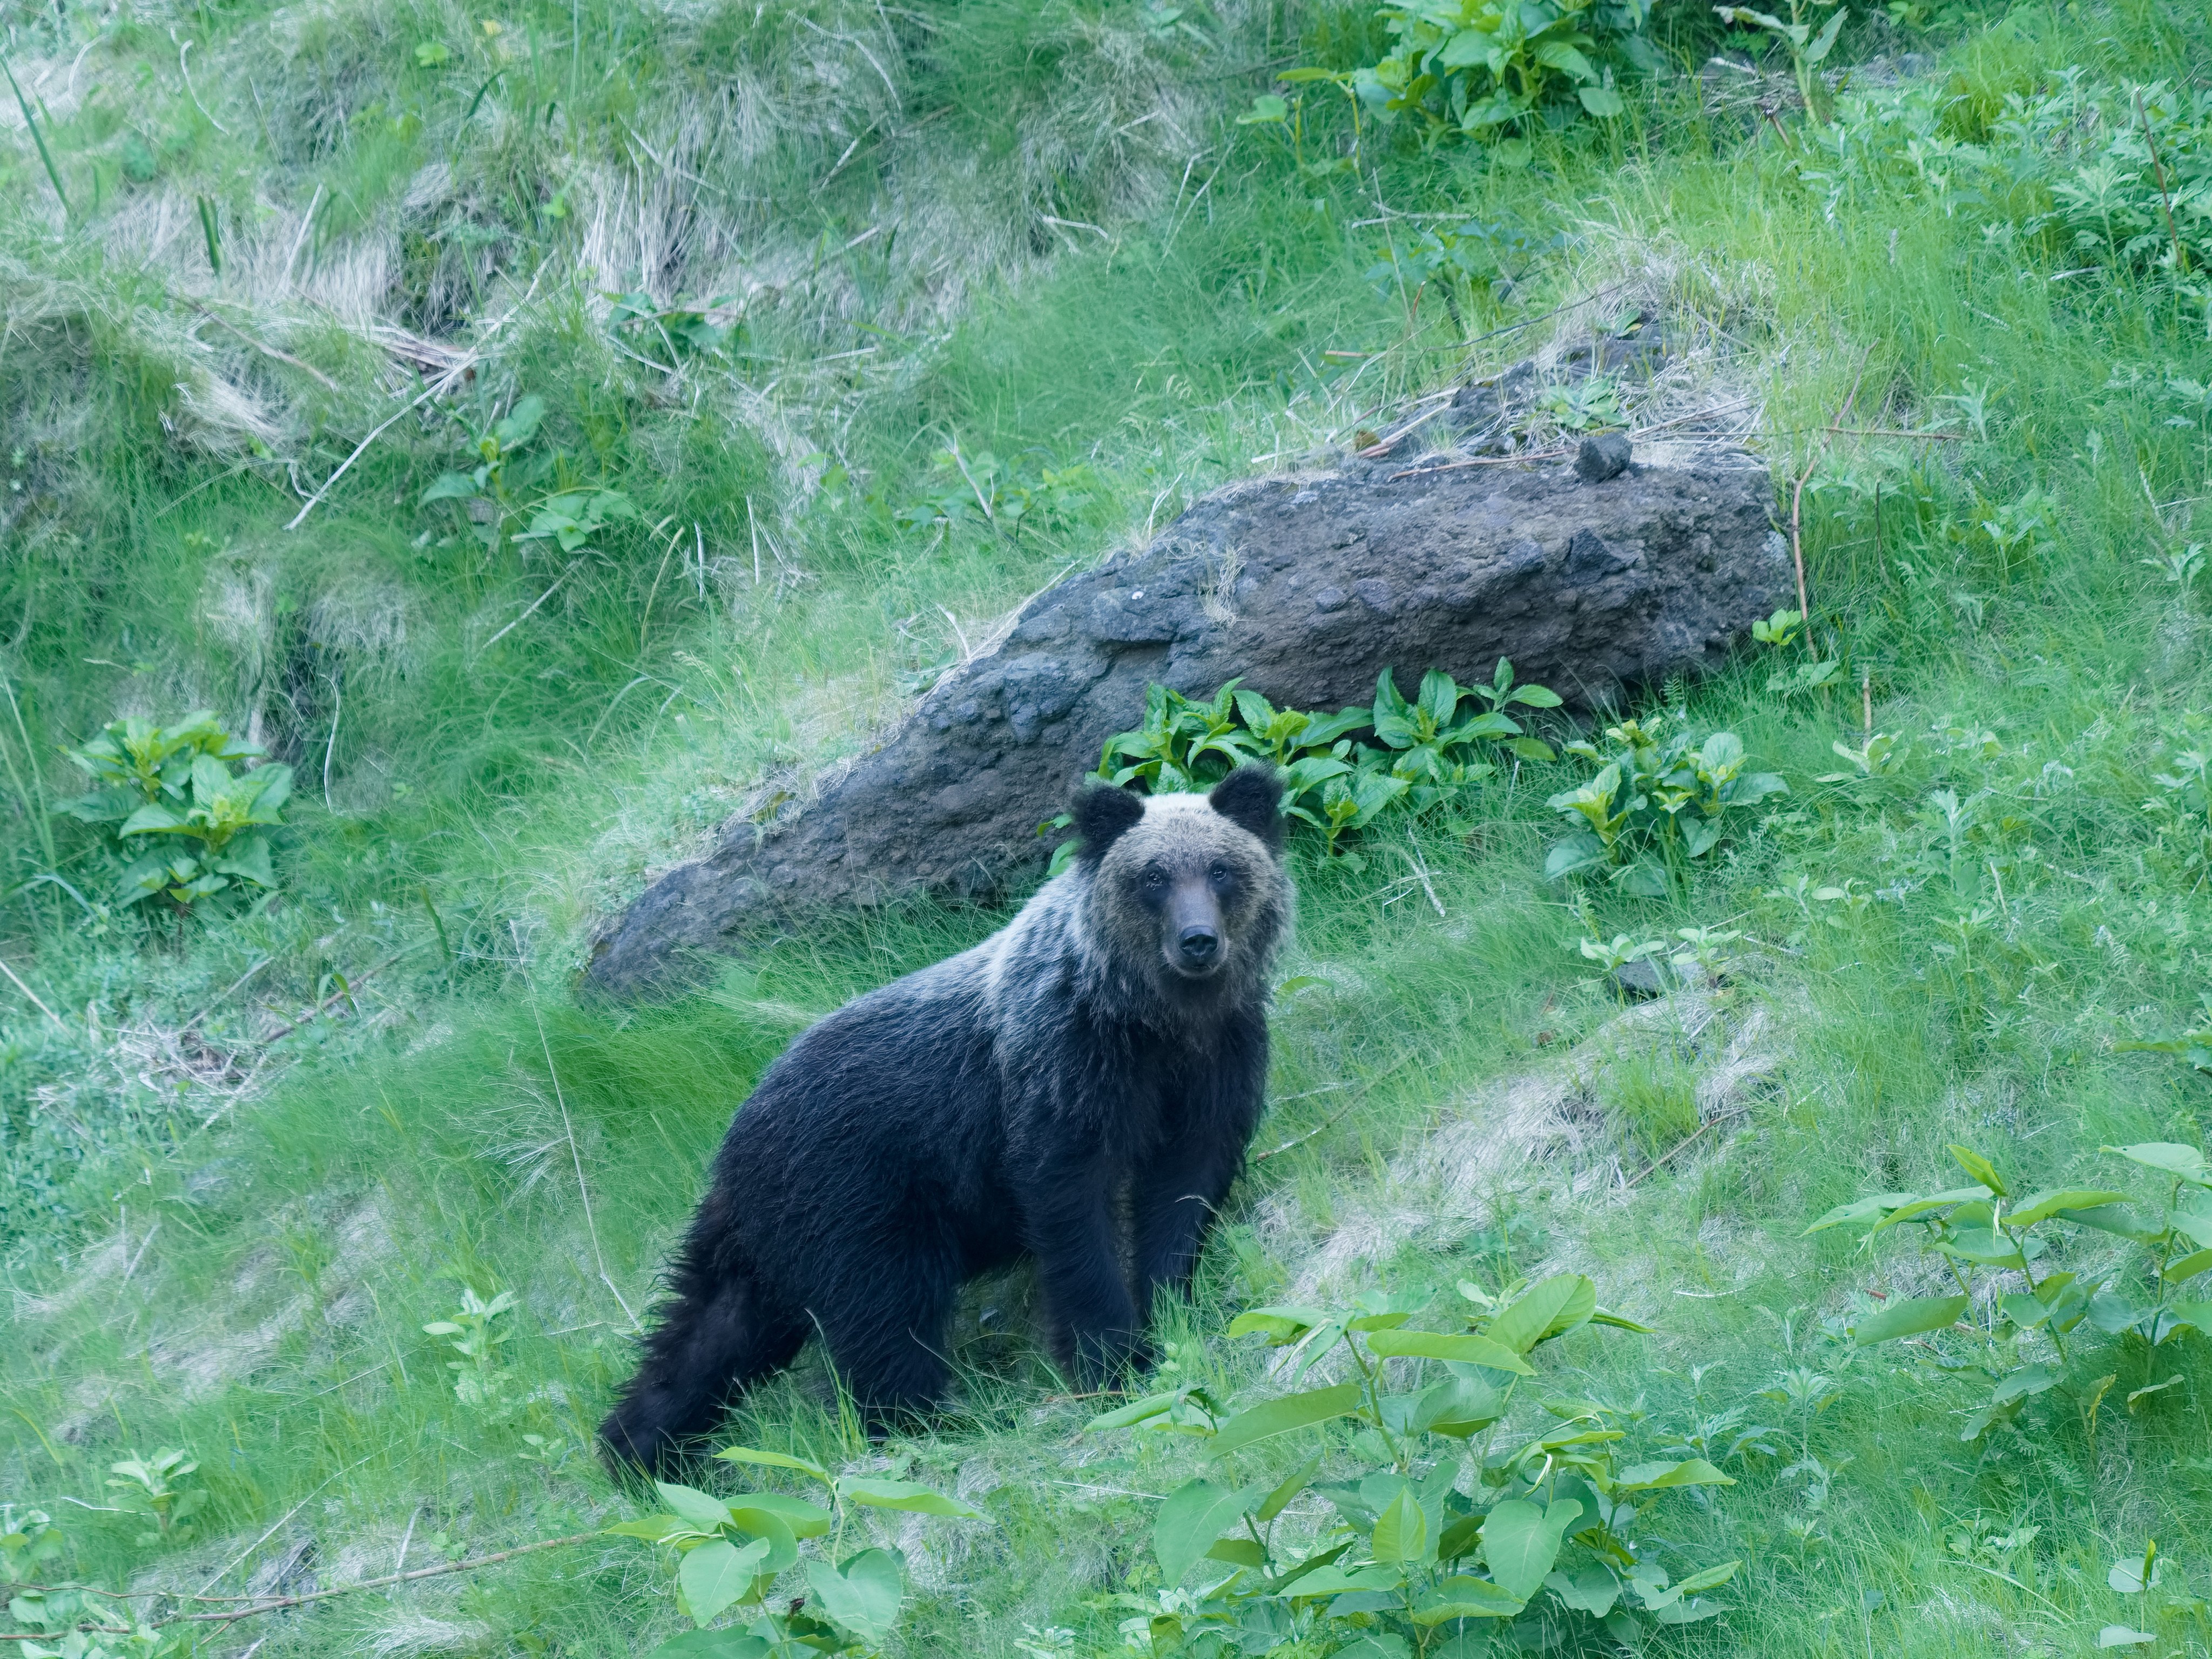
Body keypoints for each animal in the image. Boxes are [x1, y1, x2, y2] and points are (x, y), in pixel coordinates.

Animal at [599, 765, 1292, 1470]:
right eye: (1152, 876)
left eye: (1221, 868)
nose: (1198, 942)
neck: (1153, 1021)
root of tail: (733, 1138)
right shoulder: (1063, 1074)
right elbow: (1075, 1214)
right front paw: (1110, 1358)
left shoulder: (1215, 1064)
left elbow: (1183, 1193)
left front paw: (1169, 1315)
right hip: (859, 1202)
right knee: (885, 1320)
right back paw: (922, 1423)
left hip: (770, 1239)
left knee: (709, 1332)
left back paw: (639, 1450)